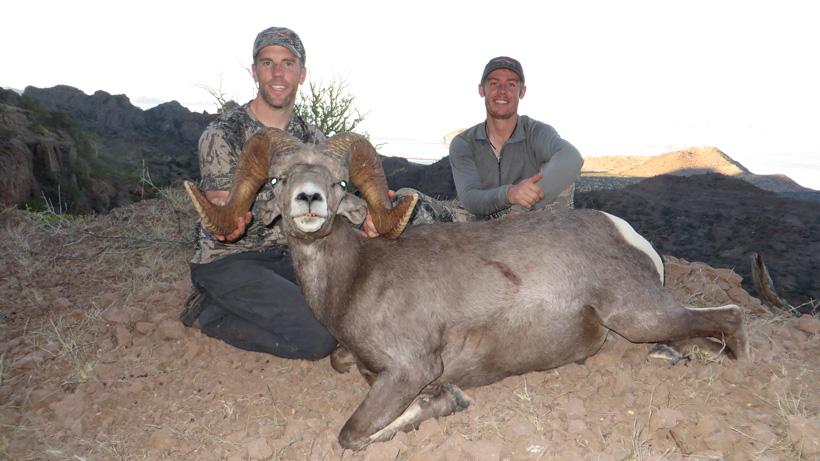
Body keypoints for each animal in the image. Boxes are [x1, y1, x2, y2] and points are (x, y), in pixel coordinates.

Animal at [184, 128, 748, 451]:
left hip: (636, 314)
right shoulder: (360, 359)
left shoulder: (409, 369)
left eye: (340, 183)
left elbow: (352, 434)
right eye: (277, 179)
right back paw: (674, 356)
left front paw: (443, 401)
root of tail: (627, 234)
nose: (309, 200)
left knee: (729, 317)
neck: (356, 276)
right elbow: (341, 362)